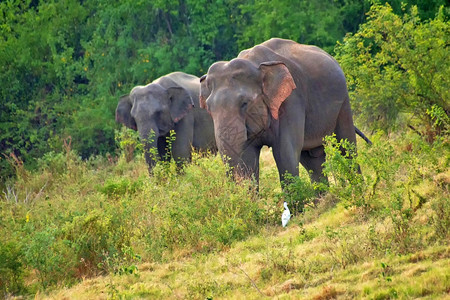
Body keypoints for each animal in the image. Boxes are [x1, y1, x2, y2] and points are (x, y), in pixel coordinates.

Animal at [200, 38, 370, 185]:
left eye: (245, 103)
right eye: (208, 108)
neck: (255, 65)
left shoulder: (291, 101)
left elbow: (284, 154)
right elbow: (248, 157)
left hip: (343, 101)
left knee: (346, 146)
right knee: (312, 159)